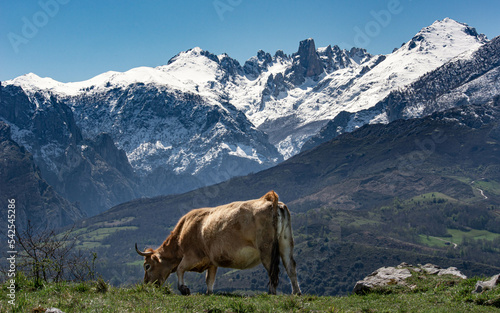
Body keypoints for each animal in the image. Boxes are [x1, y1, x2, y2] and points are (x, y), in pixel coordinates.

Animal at [134, 189, 300, 294]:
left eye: (147, 266)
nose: (146, 285)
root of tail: (270, 200)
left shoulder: (192, 255)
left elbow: (180, 269)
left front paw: (184, 289)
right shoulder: (211, 262)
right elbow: (210, 280)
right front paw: (209, 293)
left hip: (267, 248)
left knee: (272, 270)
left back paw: (271, 292)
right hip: (286, 243)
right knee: (290, 266)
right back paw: (296, 293)